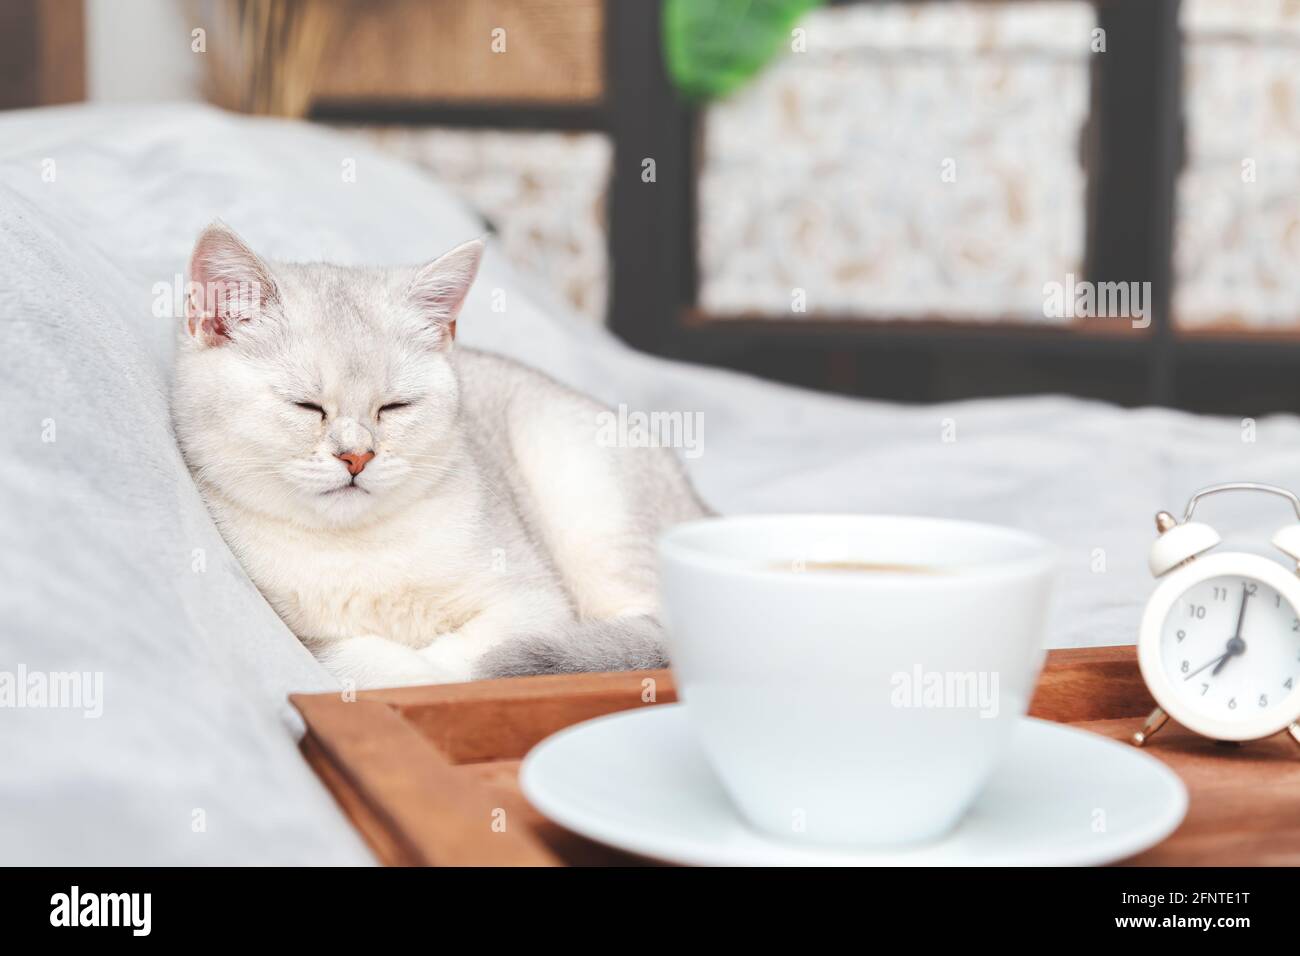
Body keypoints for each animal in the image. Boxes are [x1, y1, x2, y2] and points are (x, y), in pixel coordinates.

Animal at [170, 223, 712, 686]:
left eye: (394, 407)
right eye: (306, 406)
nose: (357, 457)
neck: (359, 549)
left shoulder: (531, 600)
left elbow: (467, 658)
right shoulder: (302, 633)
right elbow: (366, 659)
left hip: (582, 479)